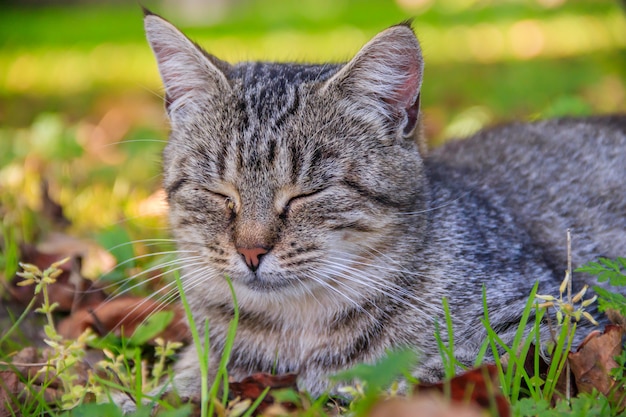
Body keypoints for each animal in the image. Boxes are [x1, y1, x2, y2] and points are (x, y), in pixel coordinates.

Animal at [125, 10, 624, 410]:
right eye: (218, 192)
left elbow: (430, 372)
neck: (295, 330)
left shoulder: (552, 316)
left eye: (308, 193)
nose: (250, 251)